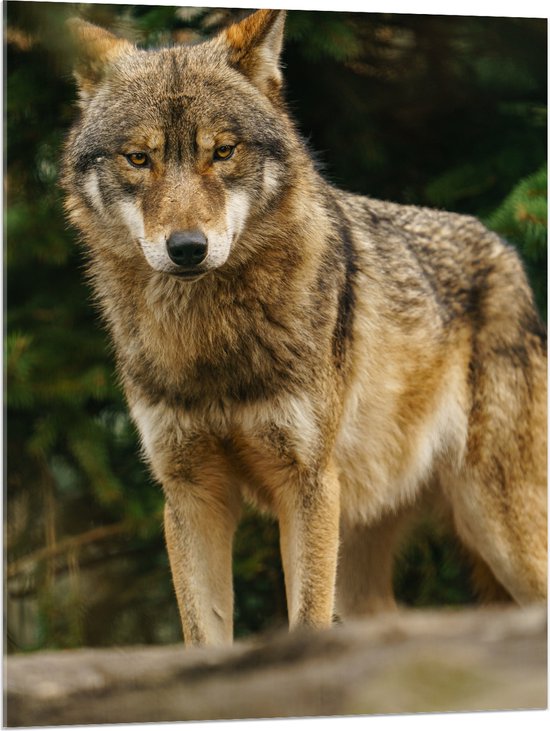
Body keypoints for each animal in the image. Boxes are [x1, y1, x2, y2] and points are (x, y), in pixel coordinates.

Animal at [63, 10, 548, 648]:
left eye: (223, 152)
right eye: (139, 158)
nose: (188, 249)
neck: (211, 342)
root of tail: (507, 250)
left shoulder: (307, 485)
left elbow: (307, 621)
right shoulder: (192, 494)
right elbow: (203, 638)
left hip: (499, 528)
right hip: (370, 562)